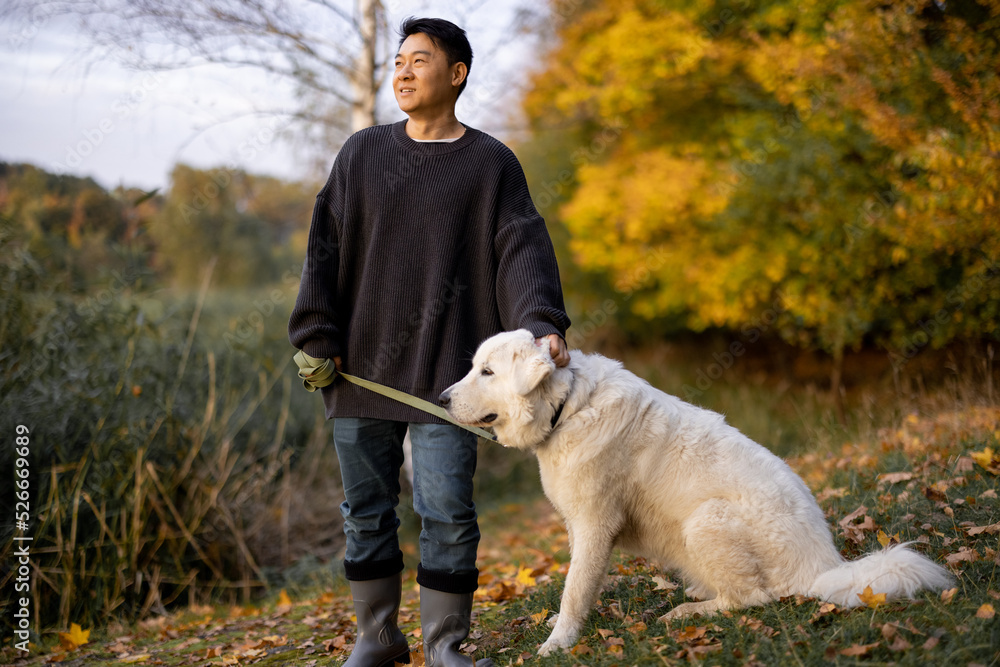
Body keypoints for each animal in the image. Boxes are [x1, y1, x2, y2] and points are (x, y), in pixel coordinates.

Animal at [442, 332, 956, 656]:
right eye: (473, 368)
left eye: (486, 372)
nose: (442, 399)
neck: (566, 408)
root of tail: (825, 567)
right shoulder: (578, 525)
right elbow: (578, 585)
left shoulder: (594, 526)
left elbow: (575, 588)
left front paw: (557, 644)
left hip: (706, 519)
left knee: (754, 598)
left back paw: (689, 611)